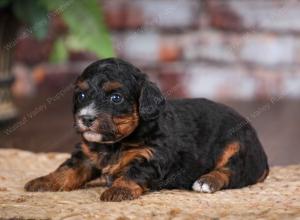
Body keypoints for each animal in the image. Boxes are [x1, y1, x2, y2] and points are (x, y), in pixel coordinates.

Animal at [25, 58, 270, 201]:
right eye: (81, 95)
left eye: (116, 98)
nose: (86, 118)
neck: (115, 143)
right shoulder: (86, 155)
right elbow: (68, 169)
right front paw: (44, 181)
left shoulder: (150, 156)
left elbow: (133, 172)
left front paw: (118, 190)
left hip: (237, 148)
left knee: (231, 171)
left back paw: (206, 181)